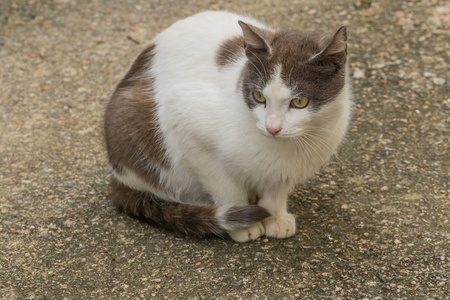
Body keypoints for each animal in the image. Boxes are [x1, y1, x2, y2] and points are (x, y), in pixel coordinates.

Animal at [104, 10, 352, 243]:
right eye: (258, 96)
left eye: (299, 101)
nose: (272, 128)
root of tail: (117, 177)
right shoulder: (185, 121)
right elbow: (225, 186)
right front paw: (245, 225)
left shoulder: (287, 167)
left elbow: (277, 187)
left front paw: (275, 216)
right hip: (130, 117)